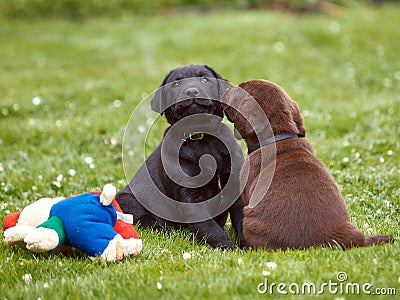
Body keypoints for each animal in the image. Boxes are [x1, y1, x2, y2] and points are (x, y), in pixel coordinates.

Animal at [116, 63, 247, 248]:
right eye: (176, 84)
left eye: (204, 79)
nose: (191, 91)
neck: (202, 138)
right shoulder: (190, 198)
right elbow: (210, 227)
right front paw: (226, 248)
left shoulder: (236, 185)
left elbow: (242, 219)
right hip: (127, 199)